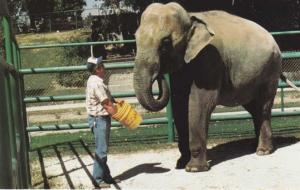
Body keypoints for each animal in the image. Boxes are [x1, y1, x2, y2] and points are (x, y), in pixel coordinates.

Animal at [134, 2, 300, 172]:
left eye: (166, 42)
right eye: (135, 37)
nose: (159, 75)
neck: (190, 16)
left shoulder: (210, 59)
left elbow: (199, 104)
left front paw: (194, 169)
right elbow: (179, 104)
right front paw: (180, 164)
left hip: (270, 70)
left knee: (263, 107)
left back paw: (263, 151)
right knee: (253, 107)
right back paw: (253, 147)